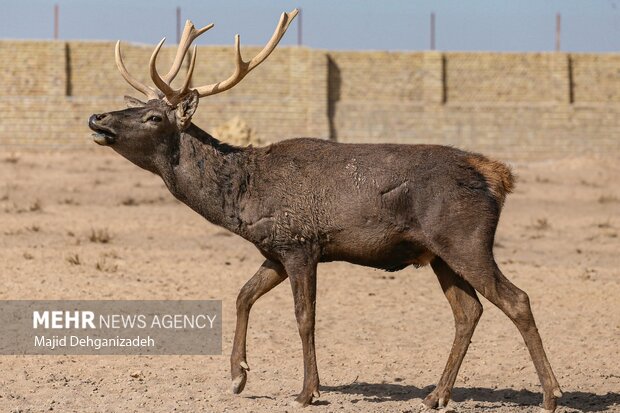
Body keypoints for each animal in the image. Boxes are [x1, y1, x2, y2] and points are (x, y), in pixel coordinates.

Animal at [88, 8, 560, 410]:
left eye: (153, 117)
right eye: (134, 105)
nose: (97, 118)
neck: (241, 197)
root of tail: (496, 175)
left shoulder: (302, 243)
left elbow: (304, 317)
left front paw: (307, 391)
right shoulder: (274, 249)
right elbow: (242, 295)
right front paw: (238, 376)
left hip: (465, 238)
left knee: (517, 299)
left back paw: (550, 395)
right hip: (440, 253)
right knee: (468, 311)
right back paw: (435, 395)